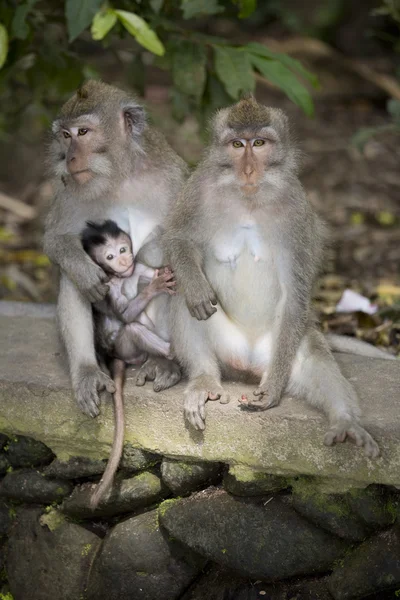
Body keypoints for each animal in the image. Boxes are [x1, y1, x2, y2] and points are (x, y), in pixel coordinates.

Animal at [44, 81, 186, 418]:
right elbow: (55, 239)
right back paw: (87, 371)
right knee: (73, 278)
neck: (119, 176)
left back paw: (163, 363)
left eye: (83, 132)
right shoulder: (69, 187)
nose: (69, 158)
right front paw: (85, 271)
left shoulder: (171, 177)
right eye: (65, 135)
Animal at [81, 220, 175, 506]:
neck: (124, 276)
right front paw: (154, 287)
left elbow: (150, 272)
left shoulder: (139, 266)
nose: (123, 260)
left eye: (123, 249)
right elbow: (123, 313)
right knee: (132, 327)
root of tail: (118, 356)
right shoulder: (109, 285)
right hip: (126, 347)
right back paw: (171, 354)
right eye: (109, 257)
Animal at [166, 96, 390, 458]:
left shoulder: (296, 209)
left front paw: (273, 392)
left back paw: (344, 421)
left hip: (283, 351)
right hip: (224, 347)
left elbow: (295, 292)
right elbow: (177, 240)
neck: (248, 197)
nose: (248, 170)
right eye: (237, 144)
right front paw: (198, 288)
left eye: (259, 143)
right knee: (178, 292)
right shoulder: (198, 187)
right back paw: (203, 380)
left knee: (315, 360)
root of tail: (248, 363)